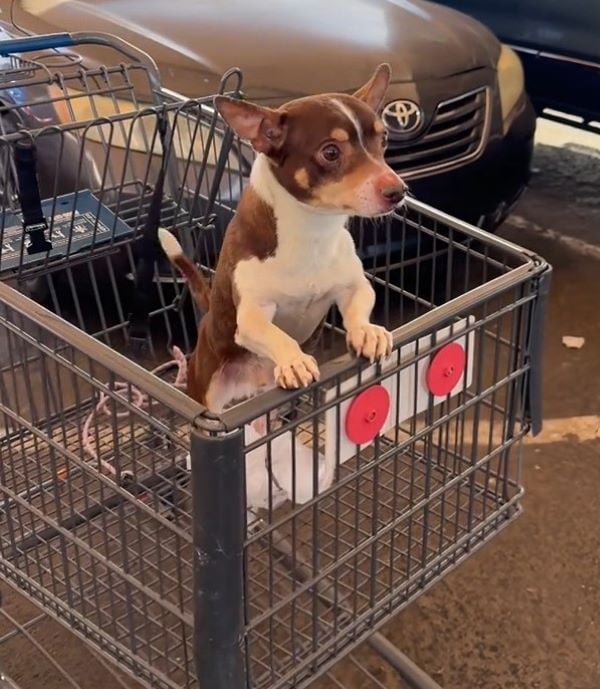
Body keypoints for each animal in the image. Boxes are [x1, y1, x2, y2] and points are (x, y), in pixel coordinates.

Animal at [159, 61, 406, 412]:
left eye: (383, 140)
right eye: (331, 152)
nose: (398, 190)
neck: (312, 230)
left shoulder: (355, 286)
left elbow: (359, 306)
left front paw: (367, 331)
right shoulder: (251, 314)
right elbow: (276, 333)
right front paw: (294, 360)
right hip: (208, 394)